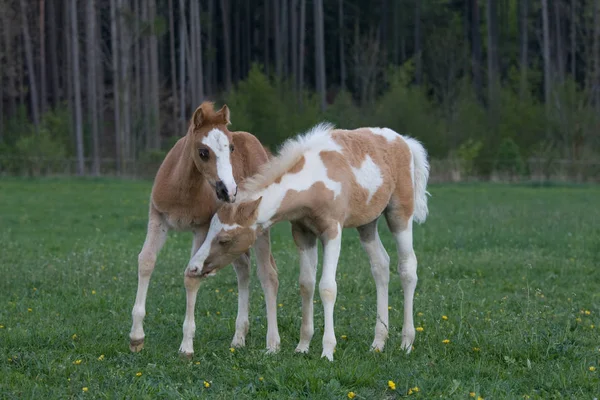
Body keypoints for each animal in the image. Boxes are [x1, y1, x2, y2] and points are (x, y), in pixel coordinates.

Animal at [129, 102, 278, 356]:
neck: (182, 189)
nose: (229, 191)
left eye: (231, 148)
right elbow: (146, 261)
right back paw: (239, 337)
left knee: (268, 274)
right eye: (203, 152)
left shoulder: (201, 228)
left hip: (257, 229)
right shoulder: (158, 218)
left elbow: (191, 275)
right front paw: (136, 337)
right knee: (243, 269)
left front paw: (187, 346)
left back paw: (272, 343)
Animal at [185, 122, 428, 360]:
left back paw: (406, 342)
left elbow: (327, 287)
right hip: (367, 223)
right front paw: (303, 346)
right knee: (381, 265)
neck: (313, 180)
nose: (193, 268)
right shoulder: (302, 232)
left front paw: (327, 350)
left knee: (407, 268)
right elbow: (306, 284)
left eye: (225, 239)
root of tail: (405, 141)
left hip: (399, 214)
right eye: (210, 230)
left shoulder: (332, 231)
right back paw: (378, 343)